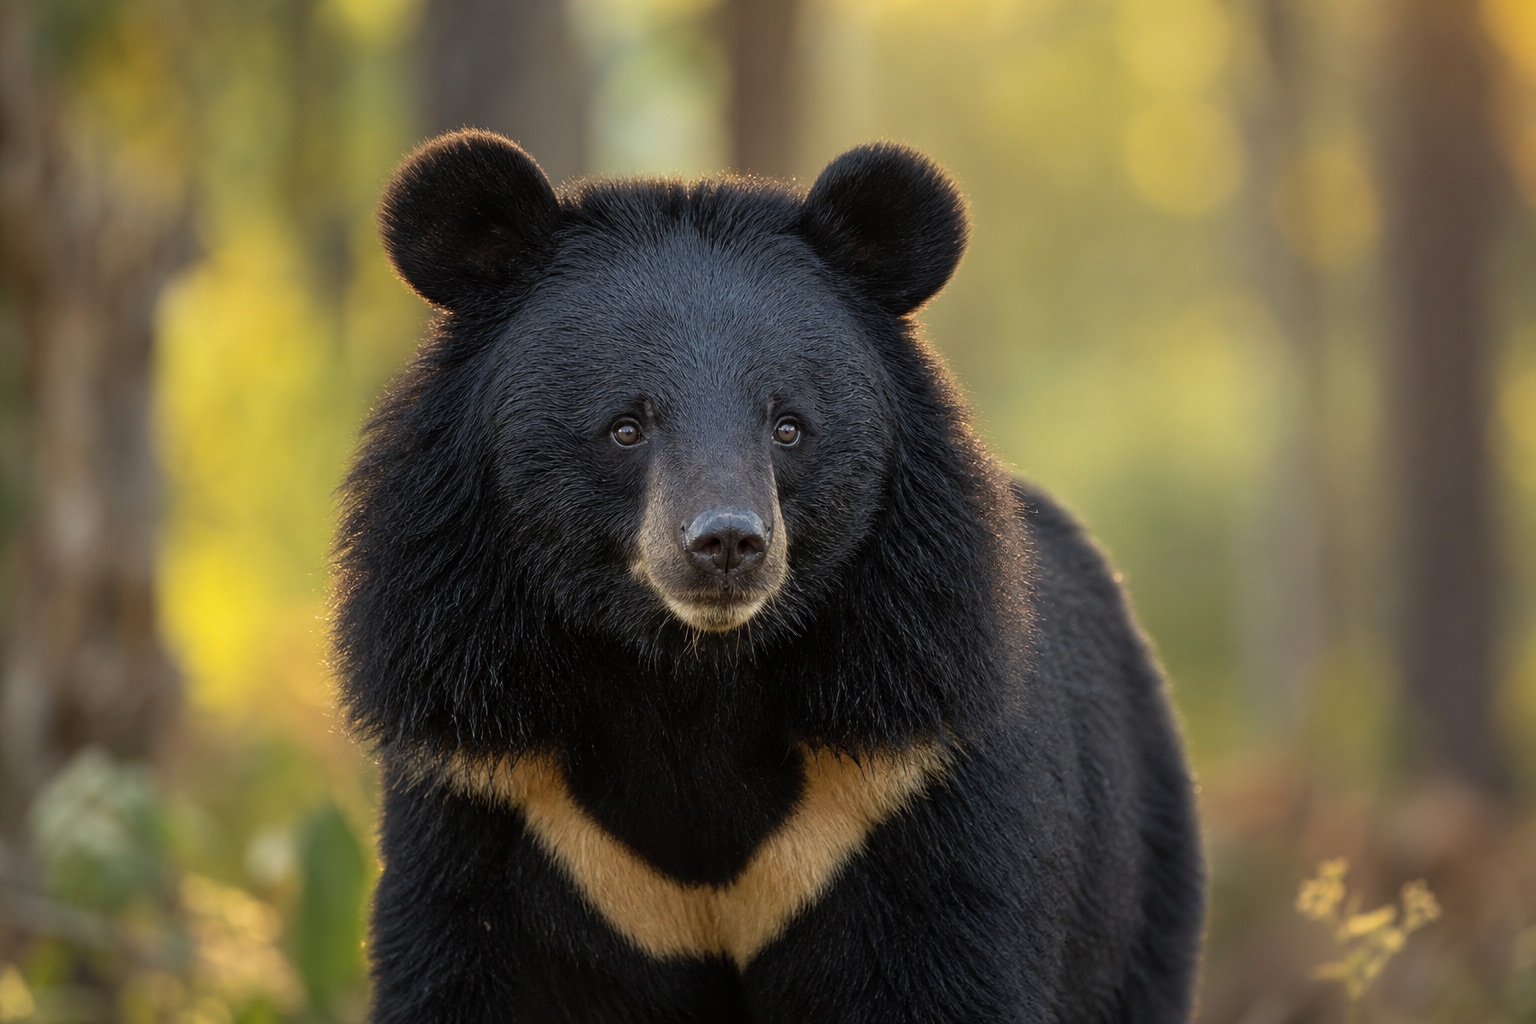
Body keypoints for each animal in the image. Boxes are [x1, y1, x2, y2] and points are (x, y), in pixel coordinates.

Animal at [334, 128, 1205, 1023]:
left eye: (788, 425)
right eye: (625, 426)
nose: (726, 542)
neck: (692, 674)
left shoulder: (910, 773)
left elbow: (951, 967)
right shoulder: (492, 789)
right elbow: (471, 970)